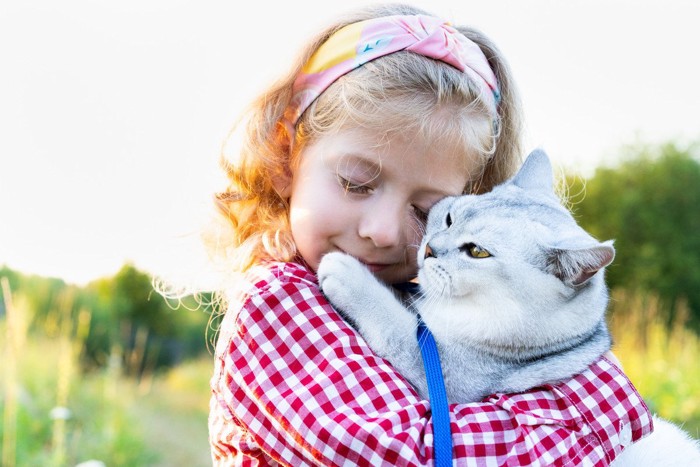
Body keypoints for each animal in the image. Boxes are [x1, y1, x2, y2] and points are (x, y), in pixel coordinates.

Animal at [318, 150, 700, 467]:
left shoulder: (447, 373)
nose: (429, 249)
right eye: (449, 218)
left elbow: (395, 323)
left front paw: (345, 271)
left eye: (477, 252)